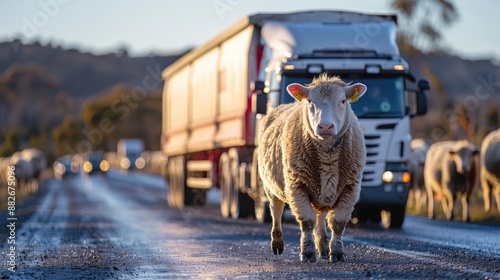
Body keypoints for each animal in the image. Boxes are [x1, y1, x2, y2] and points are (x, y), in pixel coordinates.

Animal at [258, 74, 368, 262]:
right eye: (310, 101)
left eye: (343, 101)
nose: (325, 126)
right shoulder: (297, 186)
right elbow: (307, 221)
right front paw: (308, 252)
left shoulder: (351, 188)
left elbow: (338, 223)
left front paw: (336, 252)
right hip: (271, 187)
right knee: (276, 211)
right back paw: (277, 243)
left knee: (320, 217)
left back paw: (323, 248)